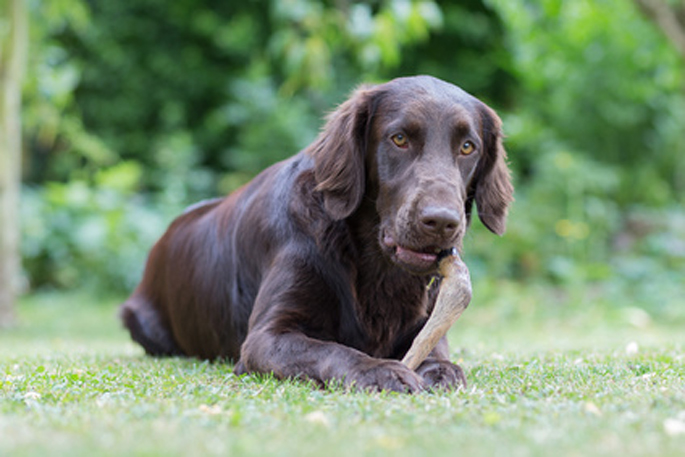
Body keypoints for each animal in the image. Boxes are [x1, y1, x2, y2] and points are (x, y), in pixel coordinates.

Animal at [119, 75, 512, 392]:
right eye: (399, 138)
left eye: (467, 147)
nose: (442, 221)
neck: (375, 266)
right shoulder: (265, 337)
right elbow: (333, 350)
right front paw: (381, 371)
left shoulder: (427, 319)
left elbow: (437, 349)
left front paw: (441, 369)